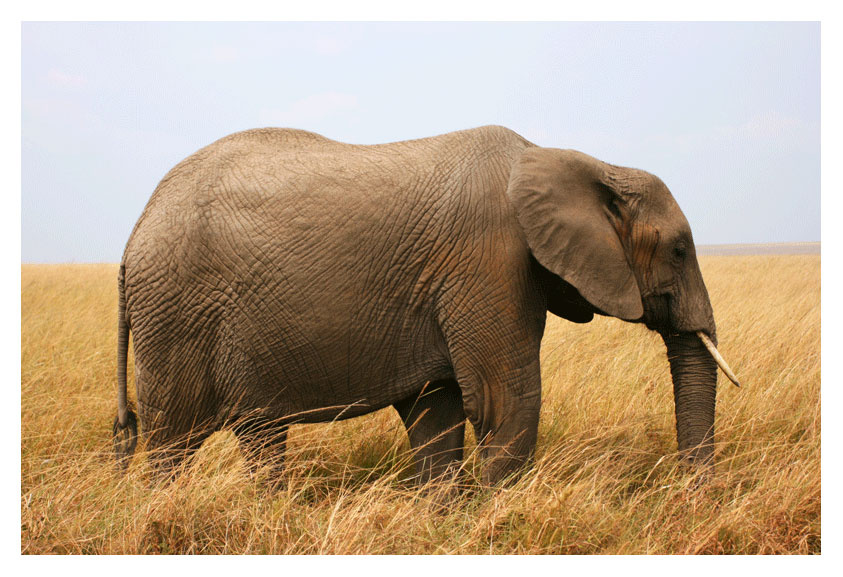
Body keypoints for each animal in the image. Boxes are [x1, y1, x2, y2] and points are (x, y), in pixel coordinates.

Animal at [112, 125, 738, 486]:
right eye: (680, 250)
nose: (691, 495)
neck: (572, 161)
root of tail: (134, 230)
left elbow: (437, 413)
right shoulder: (488, 261)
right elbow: (503, 404)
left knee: (261, 433)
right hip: (174, 313)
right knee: (171, 443)